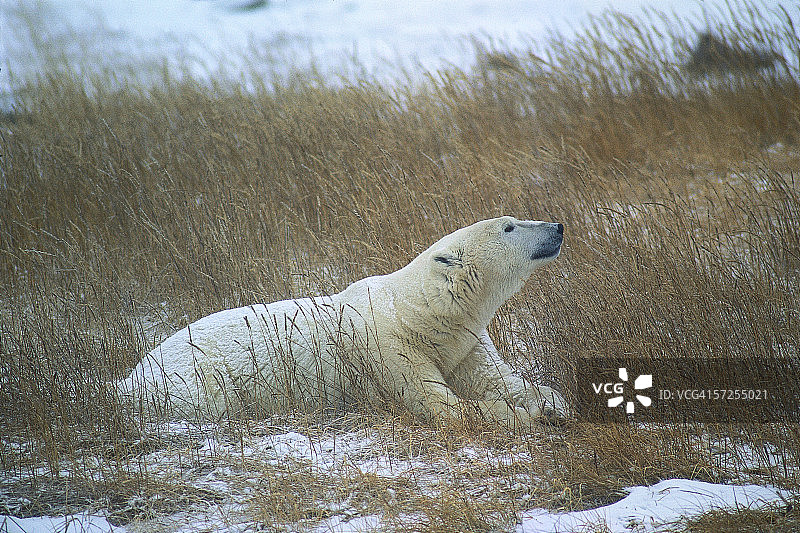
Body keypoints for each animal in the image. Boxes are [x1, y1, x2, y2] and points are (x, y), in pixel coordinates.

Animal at [120, 216, 568, 428]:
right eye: (509, 225)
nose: (557, 227)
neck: (419, 312)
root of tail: (126, 378)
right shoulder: (387, 348)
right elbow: (439, 404)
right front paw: (524, 416)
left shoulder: (464, 342)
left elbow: (497, 378)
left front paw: (551, 402)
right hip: (197, 381)